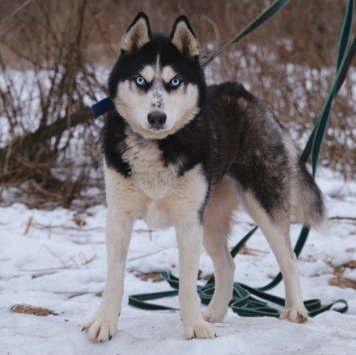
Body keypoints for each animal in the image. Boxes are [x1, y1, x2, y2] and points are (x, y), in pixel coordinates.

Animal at [84, 13, 328, 342]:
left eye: (175, 81)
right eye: (140, 80)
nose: (157, 118)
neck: (157, 147)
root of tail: (246, 94)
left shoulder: (189, 223)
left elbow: (187, 285)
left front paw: (195, 327)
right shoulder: (119, 217)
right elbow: (114, 278)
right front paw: (105, 322)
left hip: (261, 206)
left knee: (288, 258)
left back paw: (295, 310)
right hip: (211, 218)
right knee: (228, 264)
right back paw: (215, 312)